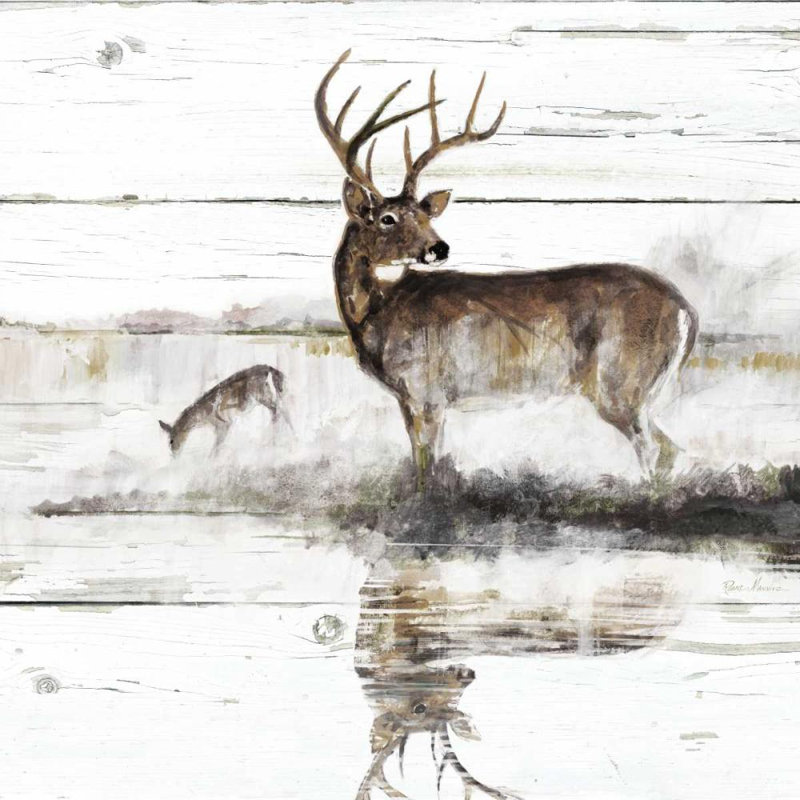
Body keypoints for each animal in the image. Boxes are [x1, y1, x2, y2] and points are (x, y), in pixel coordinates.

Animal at [316, 51, 699, 490]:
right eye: (388, 219)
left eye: (424, 215)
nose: (439, 247)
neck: (376, 315)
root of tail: (686, 311)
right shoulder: (417, 399)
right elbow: (428, 461)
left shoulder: (425, 391)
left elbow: (427, 466)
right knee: (670, 451)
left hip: (621, 381)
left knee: (656, 450)